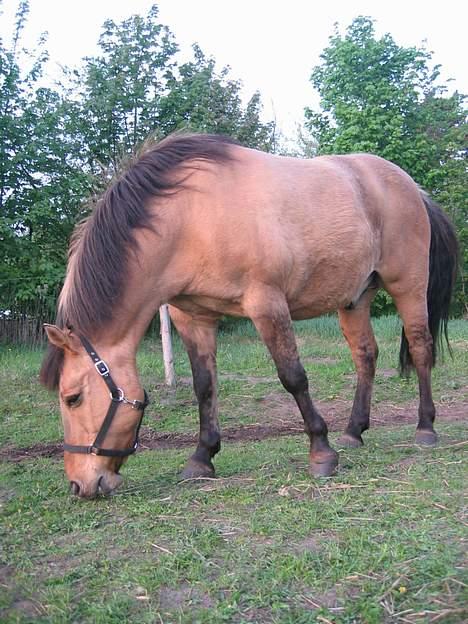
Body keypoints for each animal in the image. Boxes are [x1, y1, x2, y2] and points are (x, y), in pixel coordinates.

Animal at [39, 132, 458, 498]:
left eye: (72, 398)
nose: (78, 485)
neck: (190, 219)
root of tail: (414, 189)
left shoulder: (266, 305)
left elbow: (293, 377)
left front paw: (321, 452)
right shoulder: (192, 316)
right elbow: (204, 386)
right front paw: (202, 457)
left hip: (408, 286)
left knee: (421, 348)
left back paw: (425, 429)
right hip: (355, 298)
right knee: (365, 356)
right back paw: (354, 432)